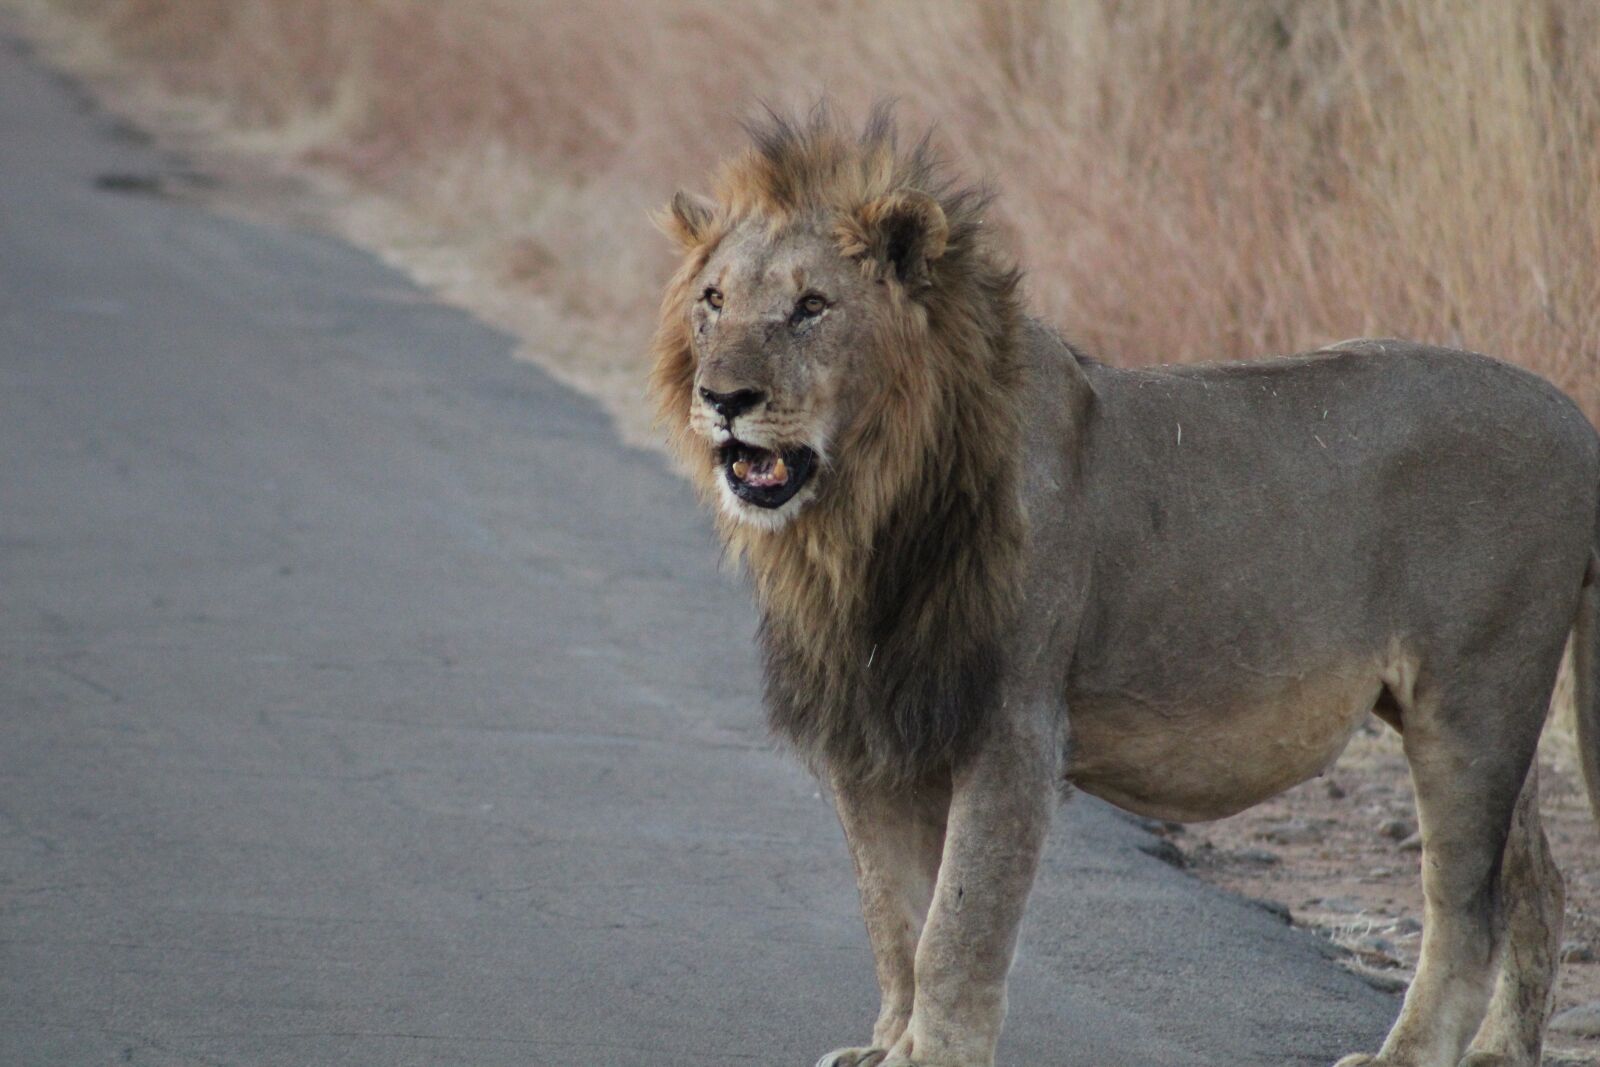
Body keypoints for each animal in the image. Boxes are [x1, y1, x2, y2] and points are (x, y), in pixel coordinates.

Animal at [646, 106, 1600, 1067]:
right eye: (714, 301)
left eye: (812, 307)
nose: (724, 397)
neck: (856, 523)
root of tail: (1574, 417)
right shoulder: (871, 731)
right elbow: (893, 913)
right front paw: (888, 1042)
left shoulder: (1011, 725)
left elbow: (957, 921)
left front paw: (935, 1050)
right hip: (1483, 714)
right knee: (1540, 882)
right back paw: (1502, 1048)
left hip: (1473, 701)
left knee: (1467, 907)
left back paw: (1406, 1053)